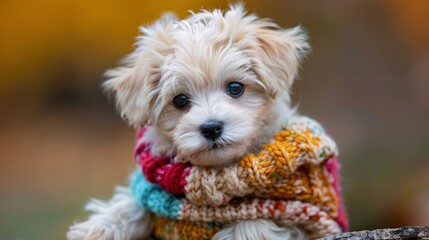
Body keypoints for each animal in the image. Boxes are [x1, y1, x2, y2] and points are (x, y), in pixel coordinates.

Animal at [67, 4, 308, 240]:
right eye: (180, 100)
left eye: (235, 87)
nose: (211, 128)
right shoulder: (149, 190)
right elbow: (132, 203)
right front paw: (100, 227)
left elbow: (254, 222)